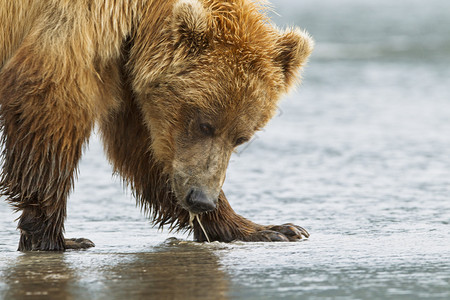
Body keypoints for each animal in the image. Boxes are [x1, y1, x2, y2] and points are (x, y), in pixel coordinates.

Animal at [0, 0, 312, 251]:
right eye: (204, 124)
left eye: (241, 138)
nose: (201, 199)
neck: (141, 15)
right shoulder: (80, 25)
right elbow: (52, 105)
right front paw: (55, 237)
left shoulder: (128, 72)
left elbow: (144, 147)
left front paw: (271, 229)